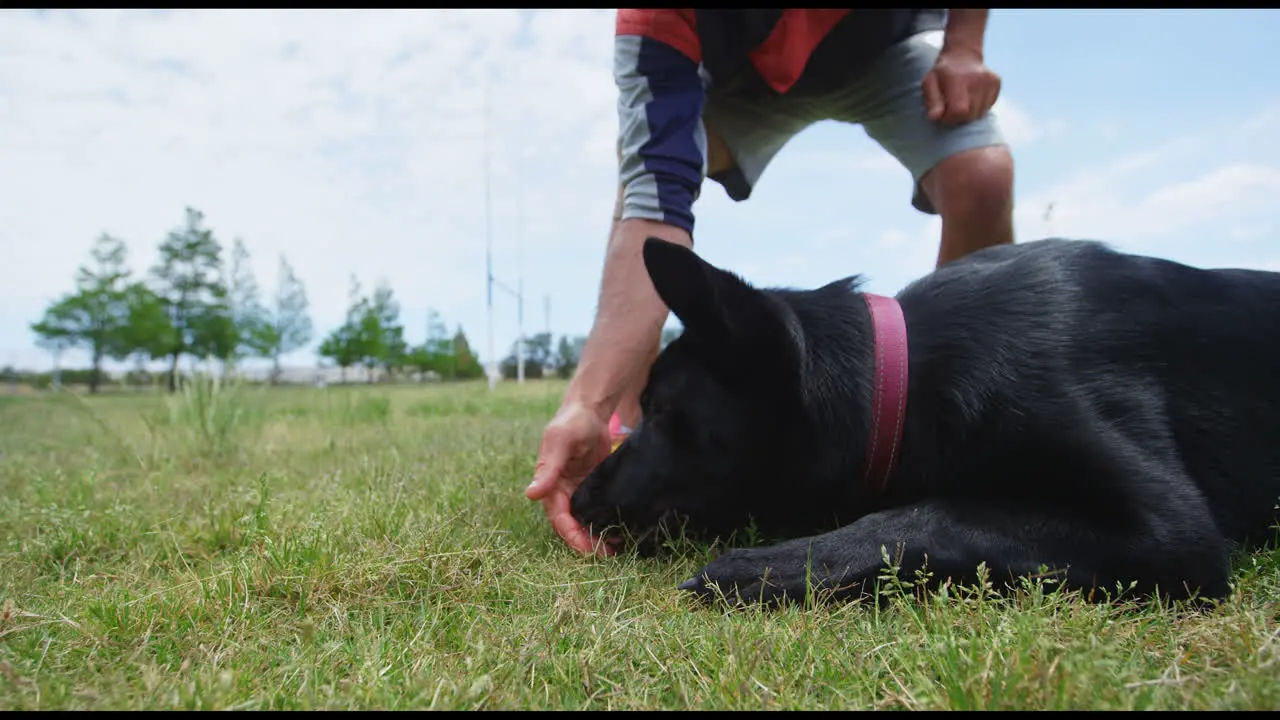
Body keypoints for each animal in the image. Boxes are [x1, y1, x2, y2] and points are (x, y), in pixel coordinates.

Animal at [570, 237, 1280, 604]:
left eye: (659, 410)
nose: (574, 500)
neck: (909, 377)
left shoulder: (1172, 533)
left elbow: (932, 515)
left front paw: (767, 567)